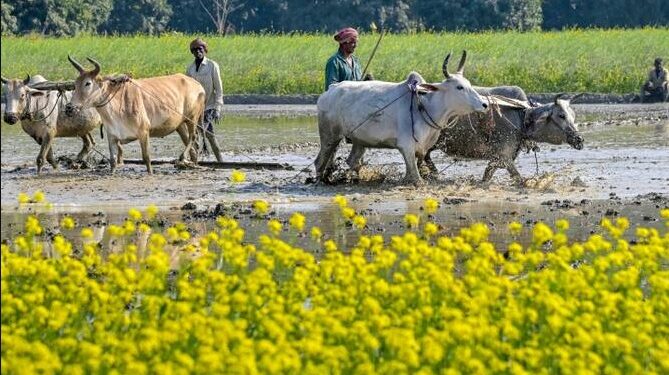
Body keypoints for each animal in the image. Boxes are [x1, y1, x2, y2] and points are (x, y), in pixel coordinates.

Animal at [316, 50, 488, 186]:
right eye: (459, 87)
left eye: (469, 84)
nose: (484, 104)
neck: (427, 106)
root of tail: (330, 90)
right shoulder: (406, 146)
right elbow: (416, 178)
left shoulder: (422, 149)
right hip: (329, 136)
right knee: (320, 161)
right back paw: (319, 180)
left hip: (359, 140)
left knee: (352, 161)